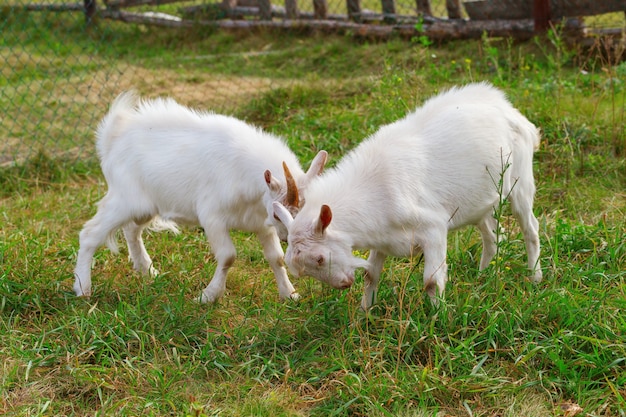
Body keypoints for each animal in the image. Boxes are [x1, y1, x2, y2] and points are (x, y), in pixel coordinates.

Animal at [73, 91, 326, 300]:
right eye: (278, 212)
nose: (287, 237)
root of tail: (112, 140)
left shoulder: (260, 223)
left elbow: (276, 258)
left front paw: (289, 294)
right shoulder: (212, 217)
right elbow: (228, 256)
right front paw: (209, 296)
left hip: (146, 207)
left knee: (132, 231)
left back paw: (148, 270)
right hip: (124, 201)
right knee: (90, 234)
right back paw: (83, 288)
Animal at [272, 82, 540, 308]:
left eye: (319, 258)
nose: (344, 284)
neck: (376, 189)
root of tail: (511, 111)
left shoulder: (433, 229)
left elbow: (431, 281)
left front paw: (438, 318)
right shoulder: (382, 238)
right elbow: (371, 275)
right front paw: (365, 314)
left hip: (520, 183)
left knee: (530, 228)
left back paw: (535, 278)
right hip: (480, 203)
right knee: (492, 236)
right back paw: (483, 277)